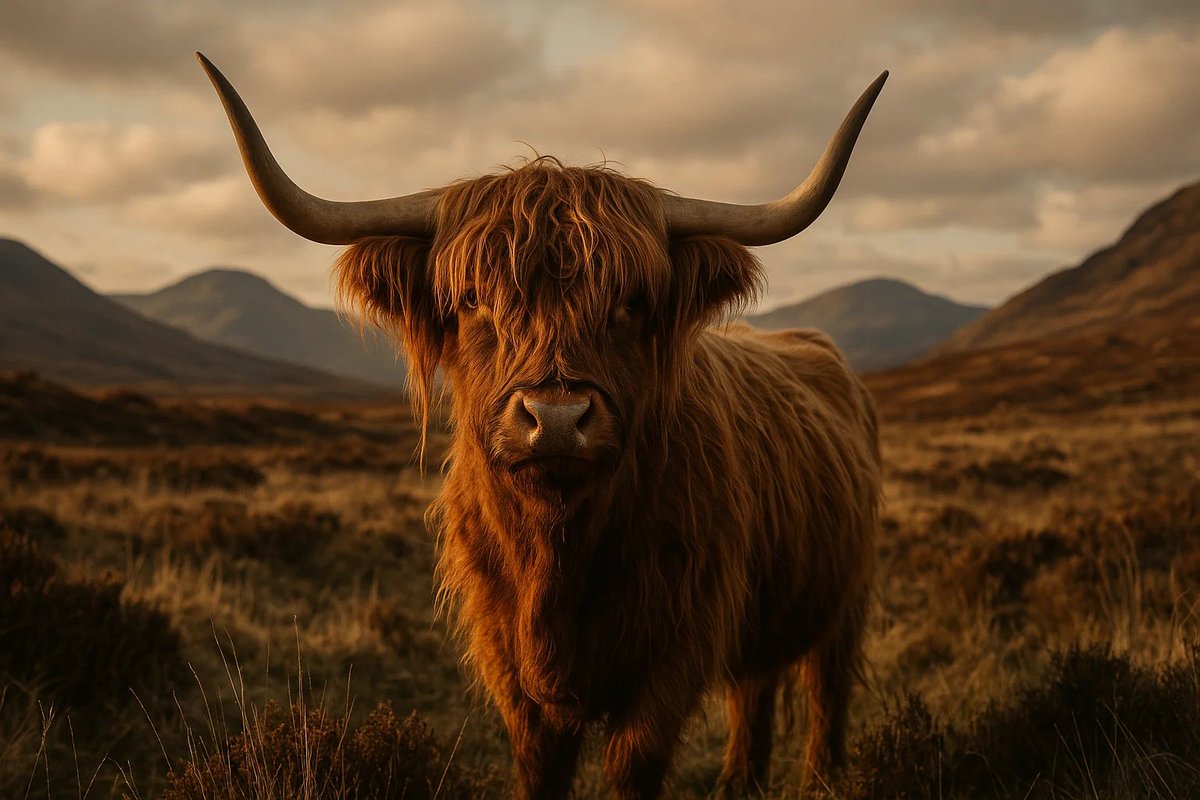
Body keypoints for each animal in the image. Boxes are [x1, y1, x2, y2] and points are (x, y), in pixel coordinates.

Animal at [198, 53, 886, 799]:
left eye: (632, 301)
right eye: (472, 299)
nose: (555, 419)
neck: (558, 553)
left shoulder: (672, 655)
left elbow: (635, 767)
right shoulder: (511, 667)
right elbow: (540, 766)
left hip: (846, 596)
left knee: (825, 691)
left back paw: (823, 777)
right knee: (752, 690)